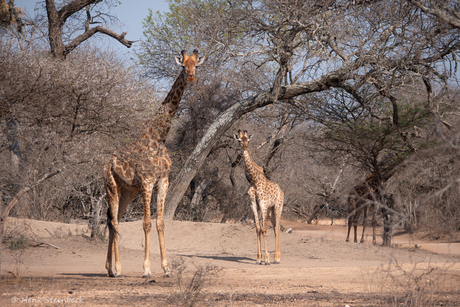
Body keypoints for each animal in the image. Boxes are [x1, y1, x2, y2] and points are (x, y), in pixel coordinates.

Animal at [105, 49, 206, 278]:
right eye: (183, 66)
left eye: (196, 65)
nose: (191, 77)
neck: (159, 137)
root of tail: (107, 163)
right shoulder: (147, 181)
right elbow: (146, 224)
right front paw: (147, 270)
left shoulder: (163, 181)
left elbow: (160, 223)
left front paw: (167, 268)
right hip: (111, 186)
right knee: (113, 221)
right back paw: (118, 269)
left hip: (128, 191)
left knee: (114, 220)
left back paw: (109, 268)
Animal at [234, 129, 284, 264]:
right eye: (239, 140)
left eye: (247, 140)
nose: (245, 147)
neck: (254, 181)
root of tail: (281, 191)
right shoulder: (254, 205)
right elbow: (257, 229)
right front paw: (258, 259)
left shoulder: (263, 204)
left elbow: (264, 230)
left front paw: (266, 259)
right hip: (271, 210)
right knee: (275, 227)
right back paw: (276, 257)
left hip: (278, 206)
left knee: (277, 227)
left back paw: (277, 258)